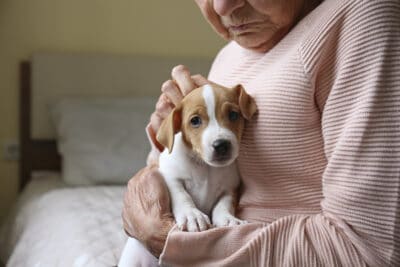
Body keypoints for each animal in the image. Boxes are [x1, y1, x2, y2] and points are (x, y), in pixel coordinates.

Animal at [119, 84, 256, 267]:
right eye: (195, 121)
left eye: (233, 114)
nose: (221, 145)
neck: (206, 167)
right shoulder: (170, 176)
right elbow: (181, 195)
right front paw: (192, 215)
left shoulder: (231, 186)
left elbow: (224, 204)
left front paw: (228, 219)